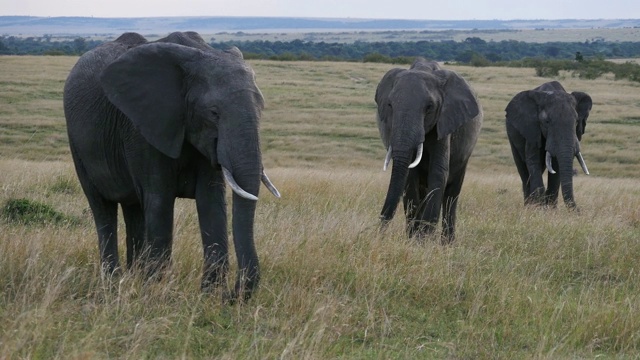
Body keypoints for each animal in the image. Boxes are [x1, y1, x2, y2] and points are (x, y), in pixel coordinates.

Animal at [64, 31, 280, 302]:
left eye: (261, 109)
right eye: (213, 113)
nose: (231, 297)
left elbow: (211, 202)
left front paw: (207, 296)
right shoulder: (144, 126)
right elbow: (160, 201)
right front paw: (156, 294)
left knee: (134, 208)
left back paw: (132, 278)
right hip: (78, 144)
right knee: (102, 209)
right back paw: (113, 284)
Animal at [372, 58, 482, 242]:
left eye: (429, 107)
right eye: (390, 105)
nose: (379, 232)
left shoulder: (445, 121)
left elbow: (438, 172)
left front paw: (424, 239)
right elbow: (410, 176)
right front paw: (414, 239)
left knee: (451, 195)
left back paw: (447, 244)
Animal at [504, 79, 596, 208]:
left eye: (577, 121)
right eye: (547, 122)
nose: (579, 210)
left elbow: (557, 166)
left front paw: (549, 209)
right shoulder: (532, 128)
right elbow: (533, 161)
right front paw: (538, 208)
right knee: (522, 168)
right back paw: (528, 205)